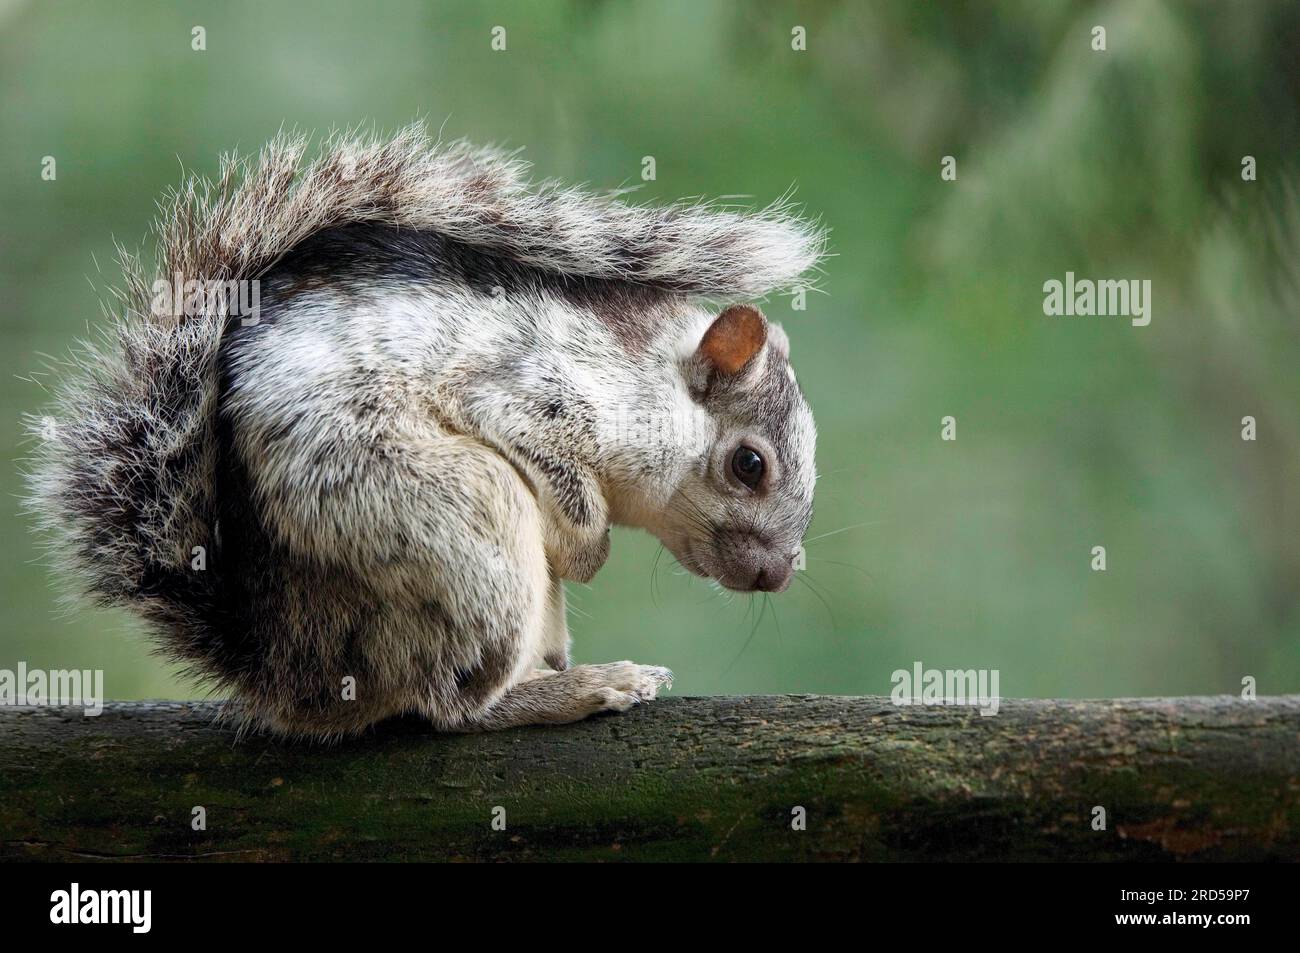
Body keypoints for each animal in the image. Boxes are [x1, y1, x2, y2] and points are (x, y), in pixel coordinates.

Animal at [25, 124, 821, 738]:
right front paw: (585, 550)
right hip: (450, 515)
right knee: (449, 705)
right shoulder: (531, 395)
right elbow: (564, 486)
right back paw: (575, 688)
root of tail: (292, 669)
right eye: (749, 464)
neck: (651, 381)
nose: (776, 575)